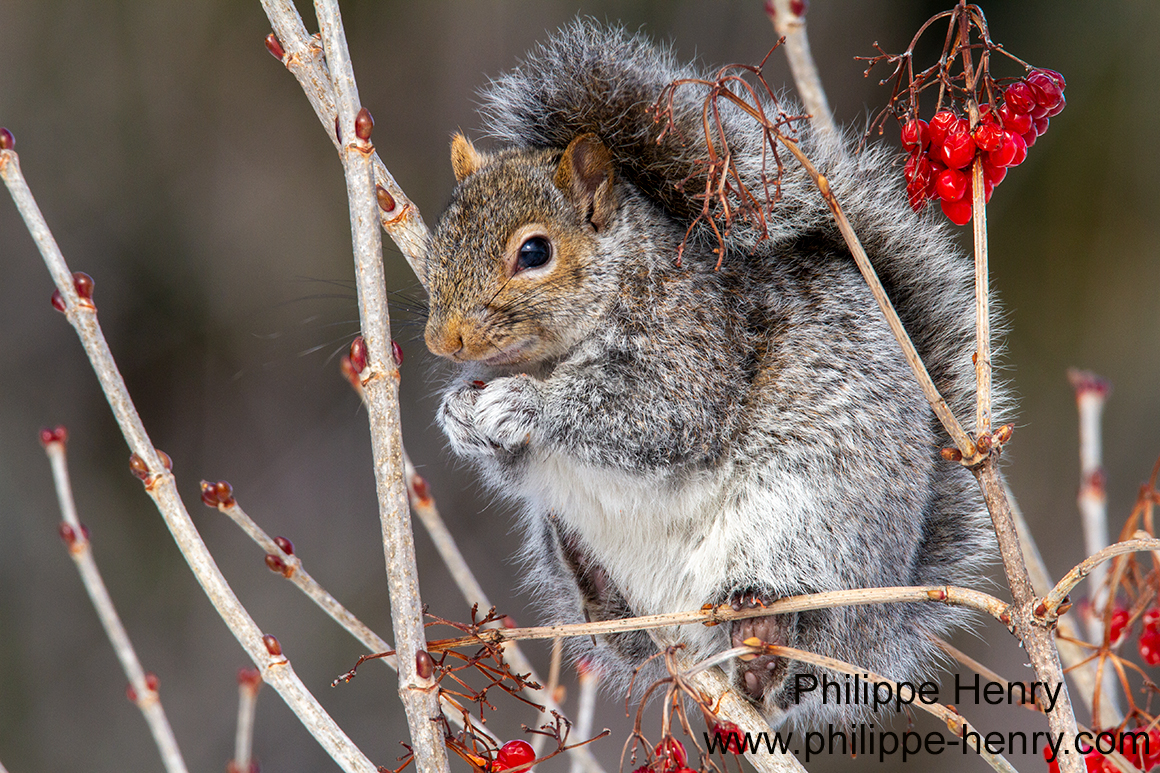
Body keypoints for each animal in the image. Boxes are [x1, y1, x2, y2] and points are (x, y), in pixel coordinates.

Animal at [422, 20, 999, 726]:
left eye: (535, 252)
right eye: (440, 240)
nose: (444, 340)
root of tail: (876, 626)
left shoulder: (696, 346)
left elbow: (657, 416)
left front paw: (522, 404)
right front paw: (458, 412)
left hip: (807, 523)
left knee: (790, 658)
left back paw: (763, 643)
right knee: (631, 637)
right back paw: (600, 592)